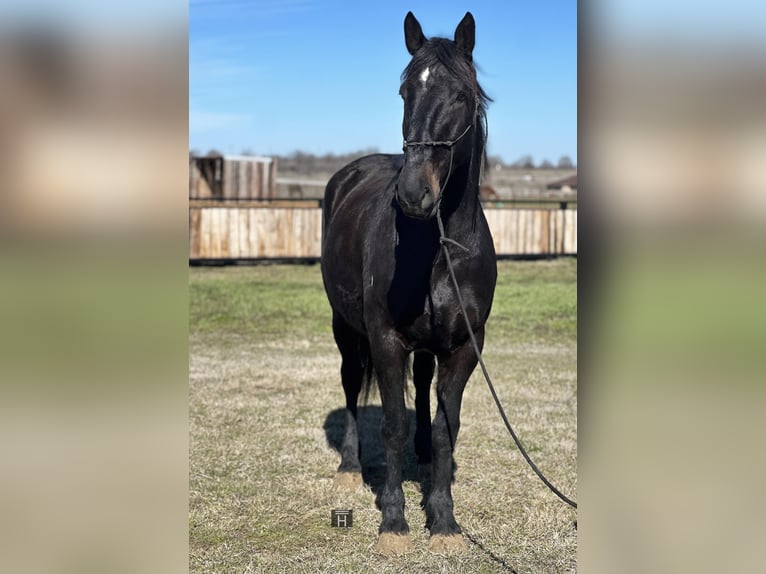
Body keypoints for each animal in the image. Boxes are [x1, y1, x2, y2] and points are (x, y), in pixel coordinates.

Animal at [322, 10, 498, 560]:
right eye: (404, 92)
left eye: (461, 95)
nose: (414, 193)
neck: (439, 248)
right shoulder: (385, 340)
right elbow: (392, 424)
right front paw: (394, 523)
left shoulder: (463, 346)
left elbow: (445, 429)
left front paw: (443, 521)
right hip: (346, 330)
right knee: (352, 387)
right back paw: (349, 467)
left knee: (421, 387)